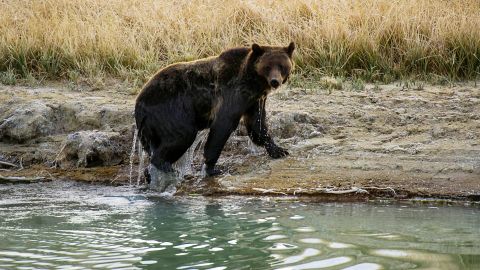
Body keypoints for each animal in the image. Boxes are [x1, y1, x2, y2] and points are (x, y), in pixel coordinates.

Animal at [133, 41, 294, 177]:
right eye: (268, 66)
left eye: (281, 66)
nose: (275, 81)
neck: (253, 83)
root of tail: (139, 104)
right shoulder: (231, 93)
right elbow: (223, 125)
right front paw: (212, 168)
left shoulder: (254, 101)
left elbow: (257, 125)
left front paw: (279, 150)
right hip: (169, 109)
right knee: (182, 134)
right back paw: (167, 167)